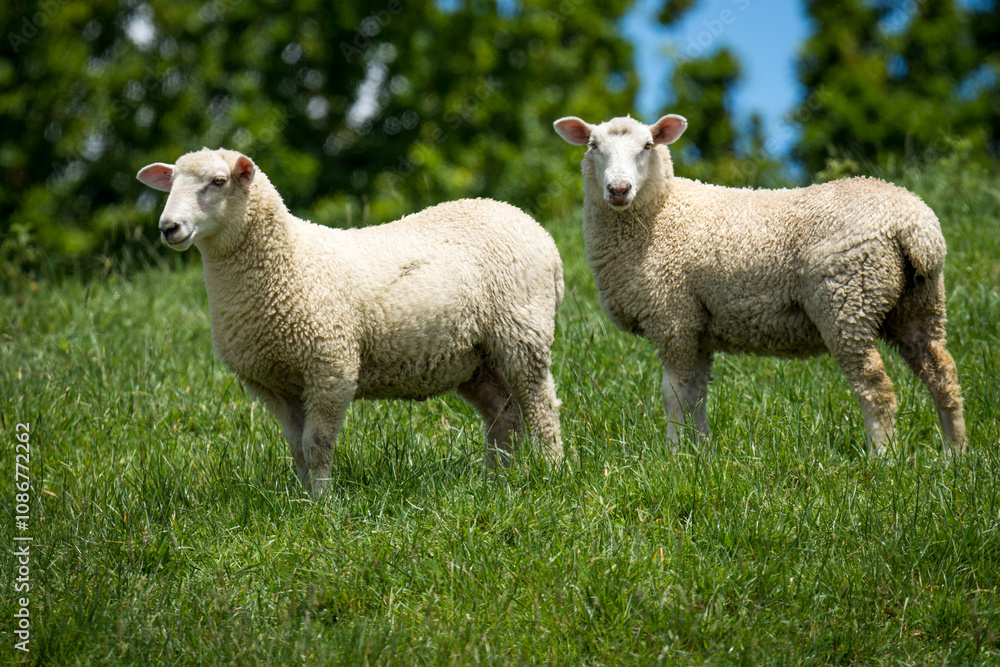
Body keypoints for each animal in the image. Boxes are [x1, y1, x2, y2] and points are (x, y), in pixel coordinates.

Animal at [137, 148, 564, 495]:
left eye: (218, 181)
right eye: (171, 182)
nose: (168, 227)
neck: (287, 259)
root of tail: (533, 226)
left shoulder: (330, 365)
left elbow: (316, 444)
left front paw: (324, 506)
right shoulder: (270, 382)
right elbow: (297, 448)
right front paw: (303, 502)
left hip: (522, 329)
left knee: (540, 404)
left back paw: (551, 470)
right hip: (473, 357)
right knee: (504, 413)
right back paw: (497, 479)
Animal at [553, 114, 966, 455]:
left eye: (647, 146)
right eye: (594, 146)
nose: (618, 189)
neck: (662, 210)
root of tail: (915, 225)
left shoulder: (672, 317)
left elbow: (674, 394)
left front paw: (672, 455)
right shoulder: (697, 326)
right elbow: (697, 395)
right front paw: (700, 455)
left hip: (847, 299)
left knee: (875, 386)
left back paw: (883, 457)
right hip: (918, 302)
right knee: (942, 374)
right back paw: (955, 454)